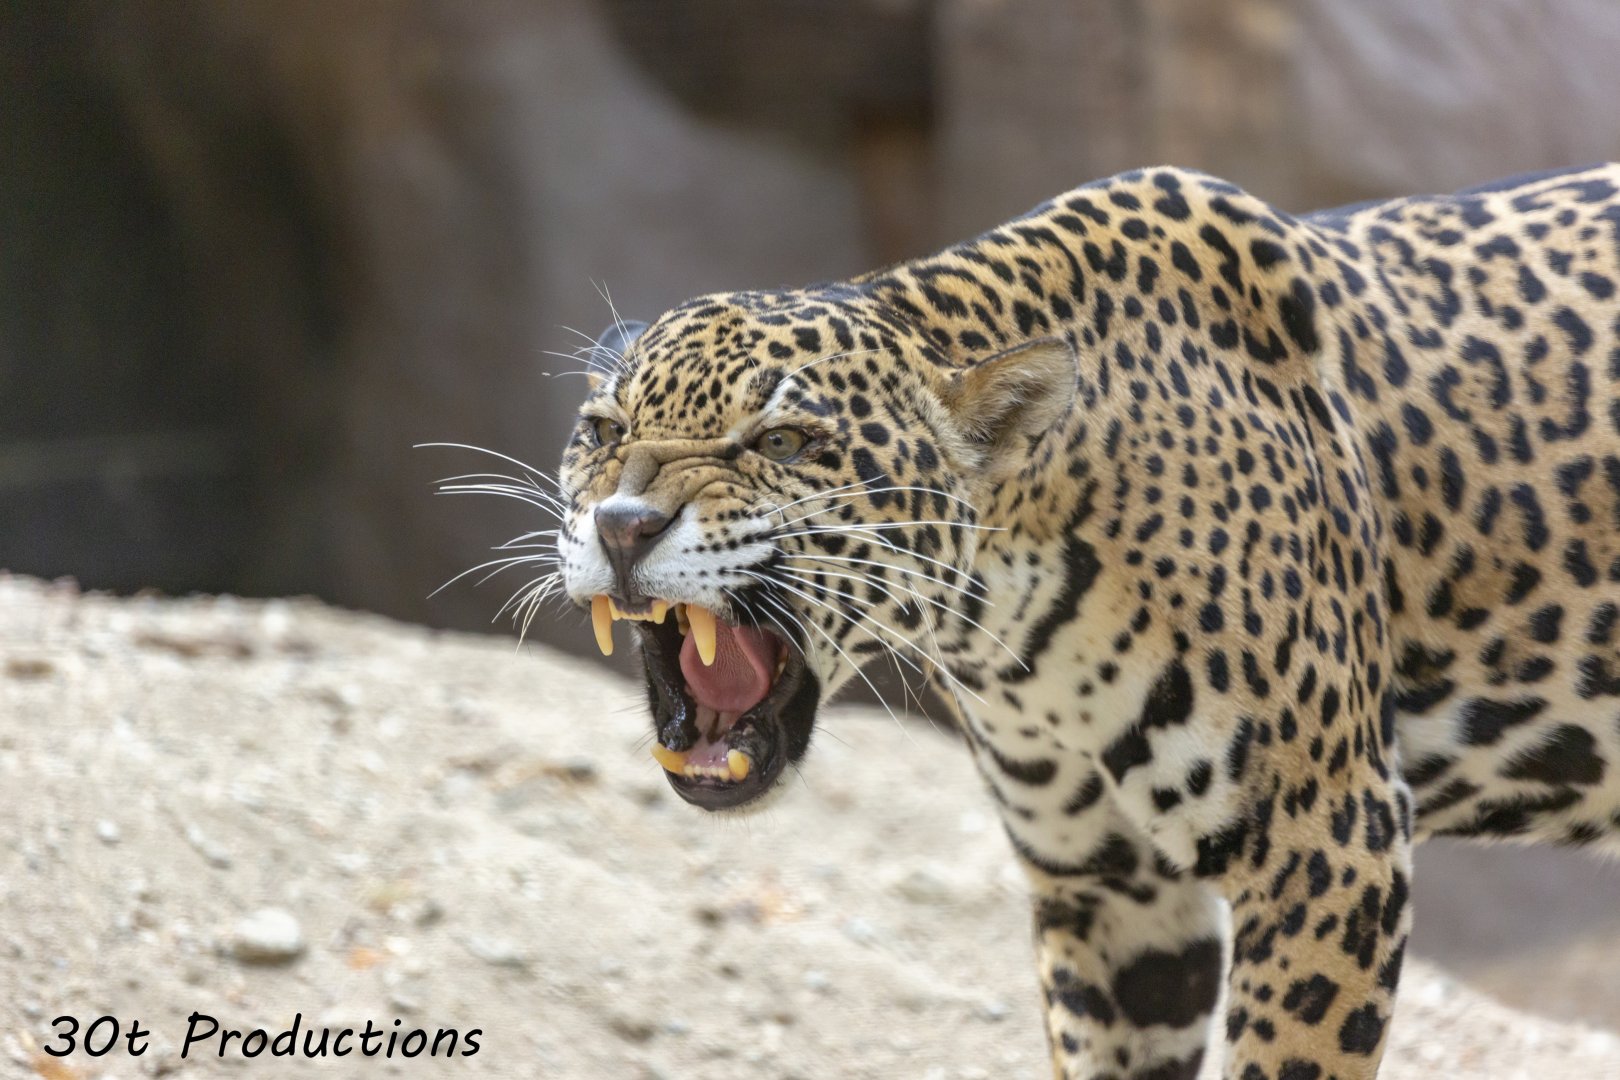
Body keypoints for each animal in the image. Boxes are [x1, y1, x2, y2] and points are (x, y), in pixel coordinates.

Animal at [539, 164, 1620, 1079]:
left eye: (785, 444)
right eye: (601, 431)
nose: (624, 526)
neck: (1015, 622)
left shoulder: (1330, 842)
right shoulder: (1107, 888)